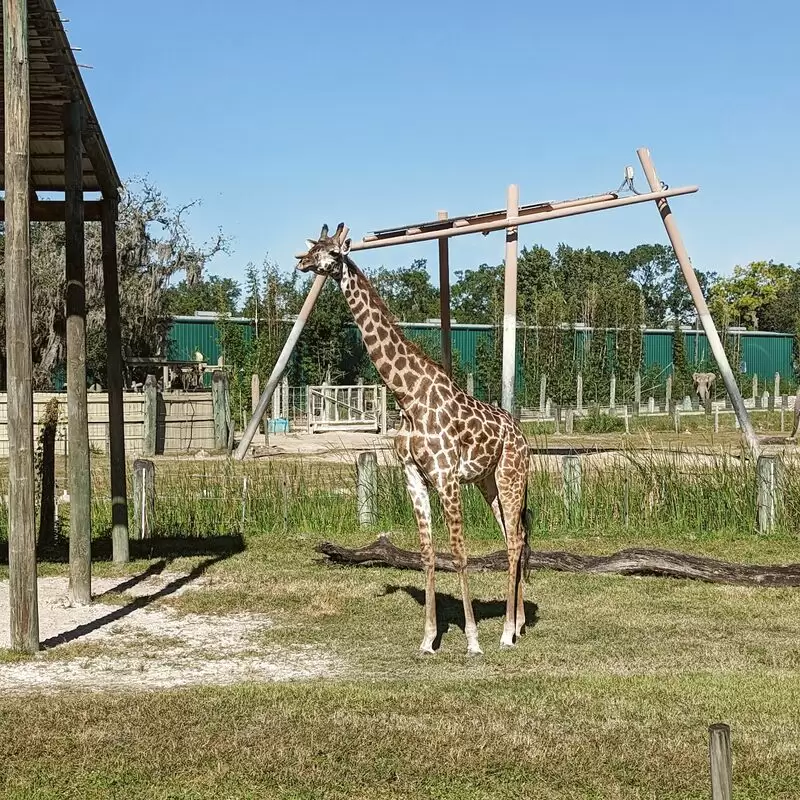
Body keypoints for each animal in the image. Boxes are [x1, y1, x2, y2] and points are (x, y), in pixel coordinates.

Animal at [296, 222, 532, 652]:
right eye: (314, 247)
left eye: (334, 253)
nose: (302, 261)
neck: (407, 396)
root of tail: (523, 438)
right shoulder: (413, 476)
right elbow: (426, 554)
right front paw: (427, 639)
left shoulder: (446, 477)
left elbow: (458, 554)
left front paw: (472, 640)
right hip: (489, 482)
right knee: (517, 537)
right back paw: (519, 624)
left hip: (511, 477)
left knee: (513, 543)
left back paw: (506, 633)